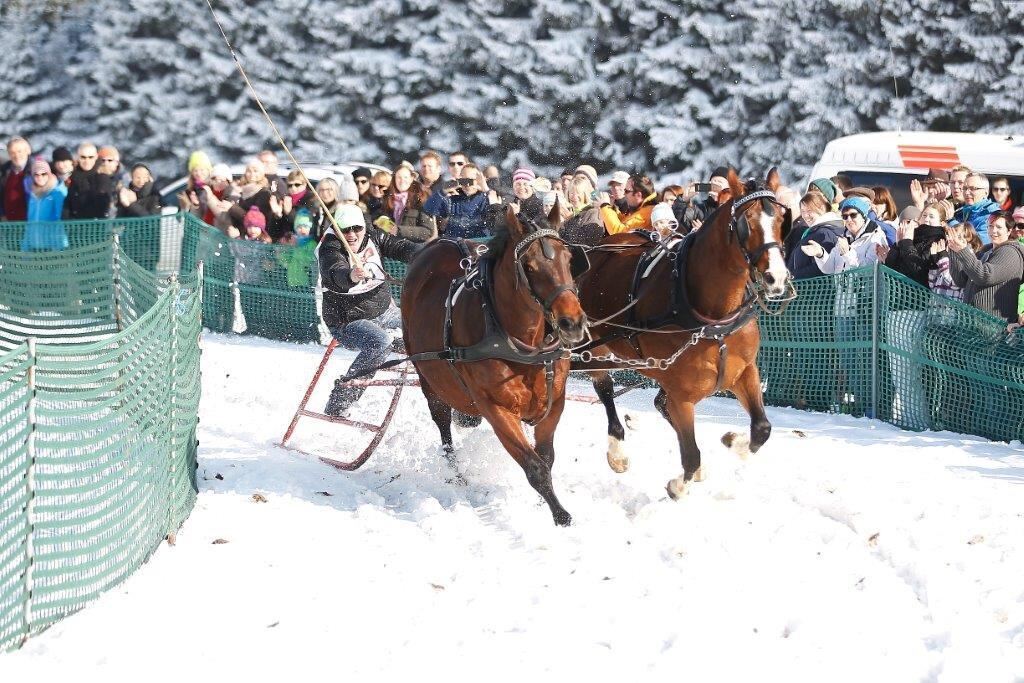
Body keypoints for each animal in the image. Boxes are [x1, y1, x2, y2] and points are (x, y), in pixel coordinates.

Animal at [401, 205, 589, 528]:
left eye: (568, 259)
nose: (572, 323)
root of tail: (437, 243)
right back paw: (456, 475)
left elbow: (546, 458)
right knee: (443, 425)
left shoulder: (554, 402)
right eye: (529, 266)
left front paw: (545, 504)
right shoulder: (496, 408)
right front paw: (560, 515)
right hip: (427, 376)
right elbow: (535, 467)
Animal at [577, 167, 790, 499]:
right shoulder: (680, 393)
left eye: (781, 219)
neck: (713, 318)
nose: (776, 277)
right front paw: (679, 485)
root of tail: (601, 248)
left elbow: (762, 429)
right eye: (747, 221)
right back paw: (617, 450)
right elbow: (690, 454)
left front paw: (733, 440)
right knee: (605, 389)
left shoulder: (744, 371)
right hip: (593, 344)